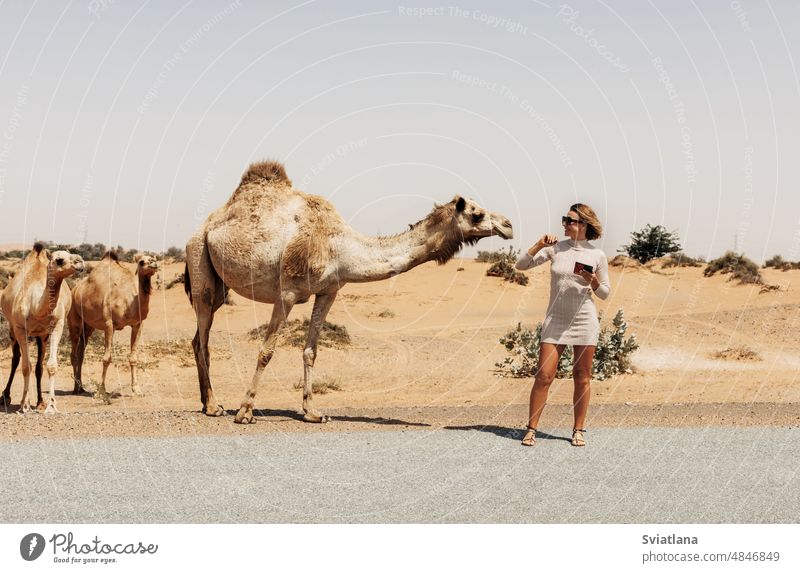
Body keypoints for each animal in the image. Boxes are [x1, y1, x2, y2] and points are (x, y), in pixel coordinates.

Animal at [0, 241, 85, 412]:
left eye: (70, 254)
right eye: (59, 260)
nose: (80, 262)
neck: (36, 306)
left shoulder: (56, 326)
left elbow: (50, 366)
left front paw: (51, 405)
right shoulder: (20, 328)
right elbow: (26, 366)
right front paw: (24, 405)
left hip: (41, 336)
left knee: (39, 366)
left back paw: (40, 402)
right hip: (12, 329)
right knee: (16, 359)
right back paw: (5, 396)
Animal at [70, 250, 161, 402]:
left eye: (153, 258)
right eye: (141, 262)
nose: (154, 264)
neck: (128, 302)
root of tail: (75, 289)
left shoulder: (137, 325)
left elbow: (133, 358)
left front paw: (137, 389)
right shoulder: (109, 324)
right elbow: (106, 358)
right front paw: (101, 391)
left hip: (88, 327)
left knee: (81, 353)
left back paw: (81, 387)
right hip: (74, 321)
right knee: (74, 354)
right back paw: (75, 388)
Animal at [185, 159, 516, 422]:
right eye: (476, 214)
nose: (508, 225)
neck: (339, 247)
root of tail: (205, 226)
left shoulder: (329, 291)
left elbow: (310, 351)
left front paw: (312, 412)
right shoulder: (287, 292)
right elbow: (266, 351)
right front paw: (245, 411)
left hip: (219, 286)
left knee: (197, 338)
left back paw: (207, 404)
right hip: (200, 260)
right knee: (203, 339)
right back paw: (214, 406)